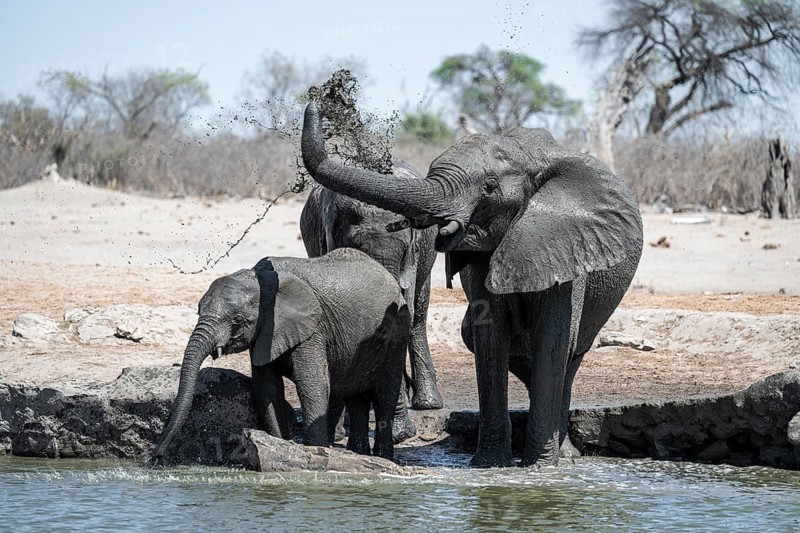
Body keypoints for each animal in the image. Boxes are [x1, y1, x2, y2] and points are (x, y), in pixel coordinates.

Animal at [151, 248, 411, 462]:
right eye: (198, 311)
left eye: (238, 321)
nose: (156, 457)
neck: (259, 280)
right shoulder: (265, 332)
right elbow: (267, 388)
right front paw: (281, 446)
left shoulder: (313, 329)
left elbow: (313, 385)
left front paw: (316, 451)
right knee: (356, 398)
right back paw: (361, 454)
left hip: (396, 334)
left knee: (385, 395)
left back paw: (383, 457)